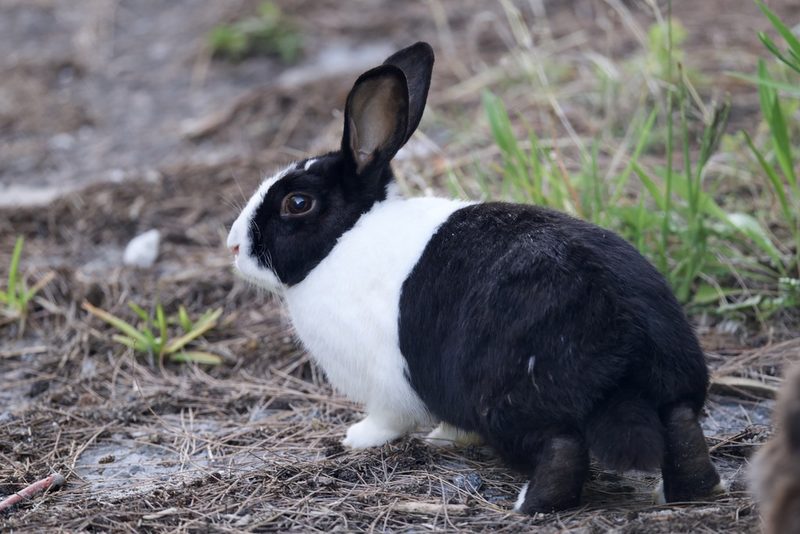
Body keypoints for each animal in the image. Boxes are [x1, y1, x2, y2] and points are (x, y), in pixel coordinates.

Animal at [226, 41, 722, 513]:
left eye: (297, 203)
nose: (232, 246)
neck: (346, 237)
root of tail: (626, 355)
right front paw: (446, 437)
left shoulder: (386, 386)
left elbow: (388, 418)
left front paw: (357, 438)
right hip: (669, 391)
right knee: (681, 427)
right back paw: (690, 491)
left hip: (512, 405)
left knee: (562, 449)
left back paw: (528, 505)